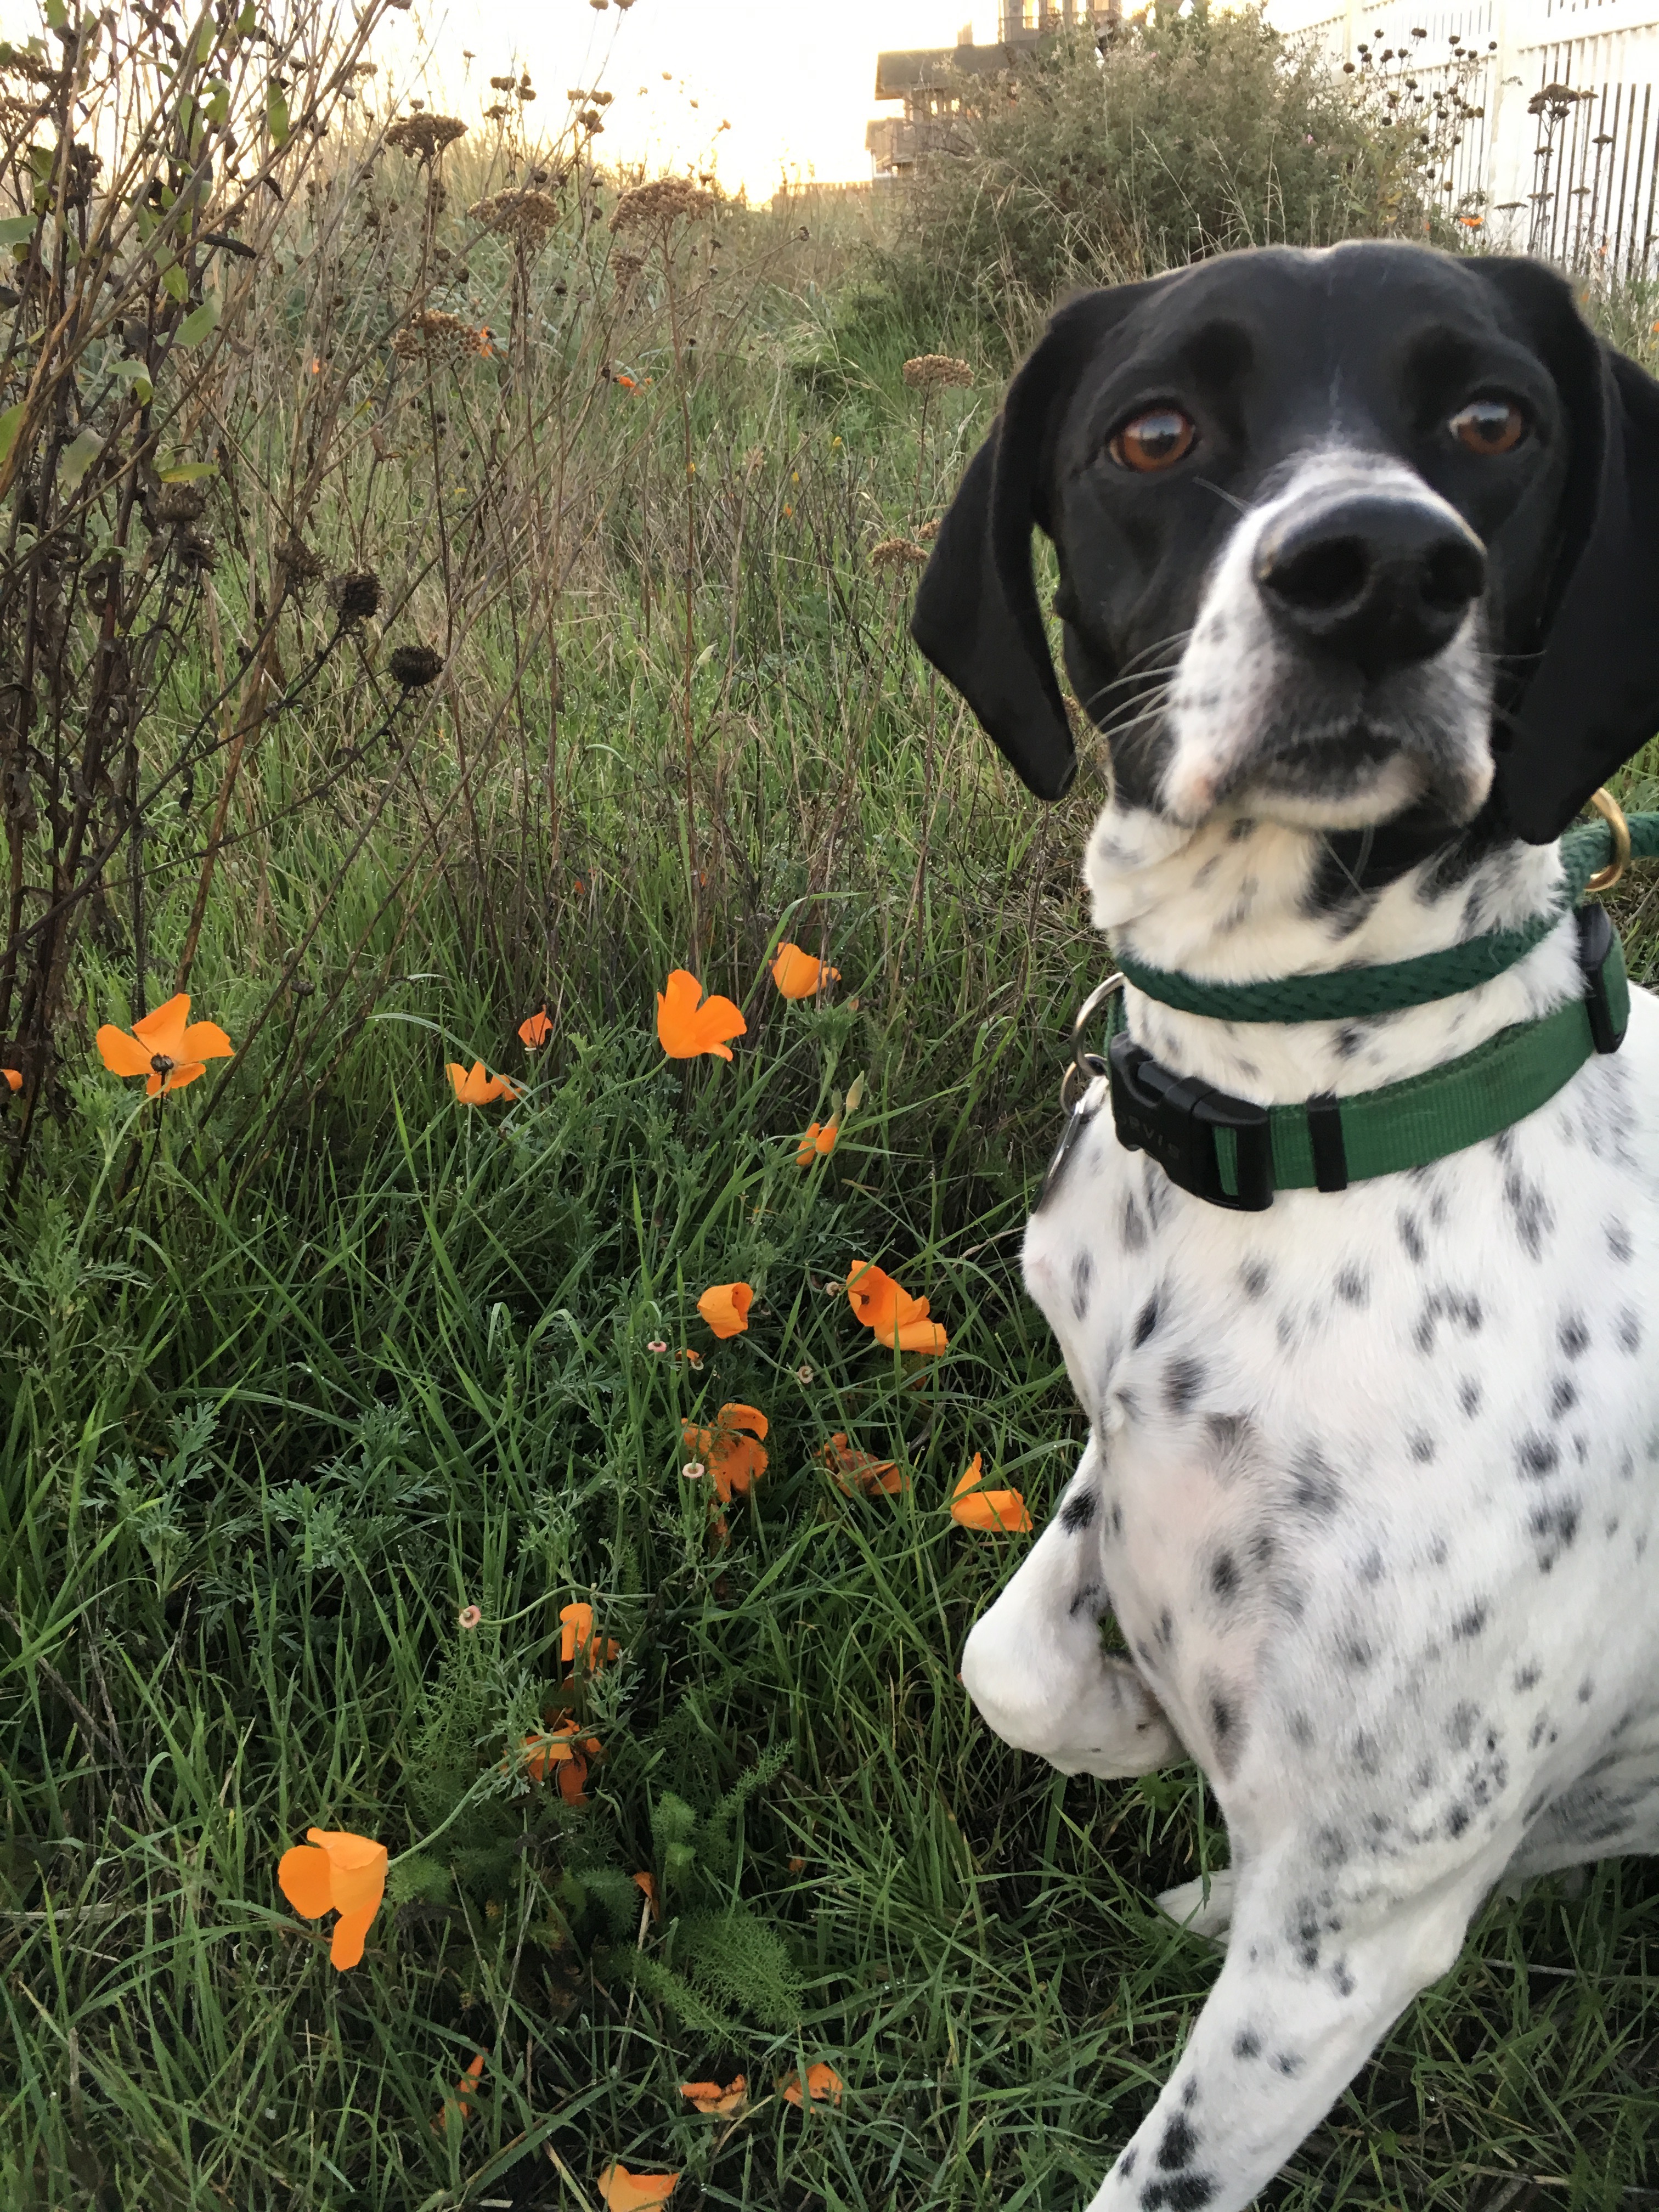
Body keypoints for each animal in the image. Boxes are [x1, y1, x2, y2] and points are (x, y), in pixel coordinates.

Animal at [916, 233, 1659, 2203]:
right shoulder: (1123, 1412)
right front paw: (1123, 1730)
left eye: (1494, 421)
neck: (1312, 1114)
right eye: (1154, 430)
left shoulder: (1348, 1942)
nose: (1379, 572)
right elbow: (1010, 1655)